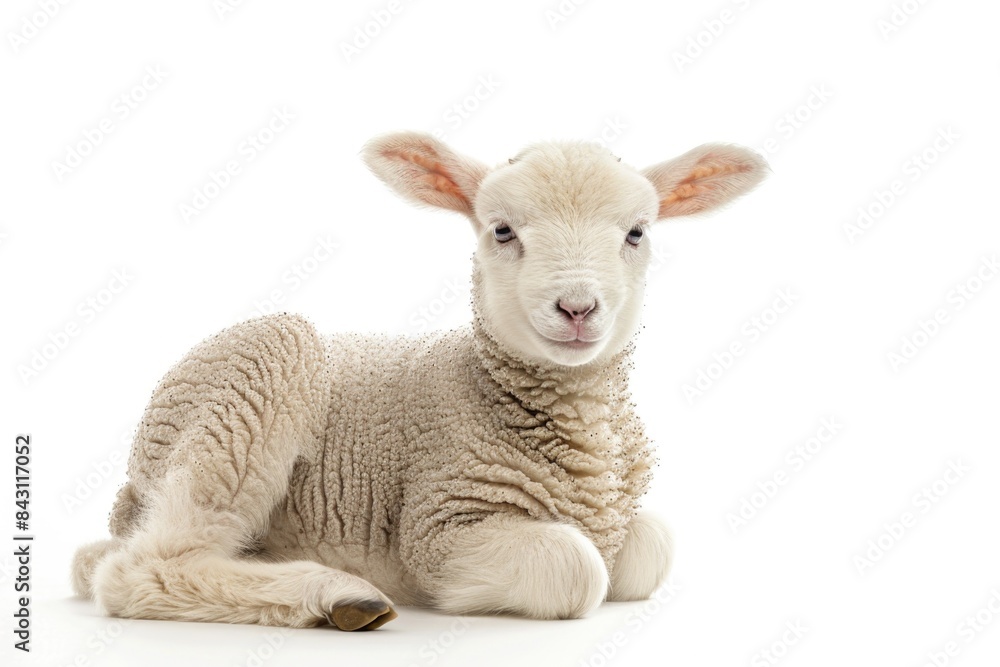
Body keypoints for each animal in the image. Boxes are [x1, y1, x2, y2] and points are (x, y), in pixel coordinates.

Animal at [72, 131, 767, 630]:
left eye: (636, 233)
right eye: (502, 230)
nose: (576, 308)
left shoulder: (624, 514)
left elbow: (651, 547)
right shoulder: (440, 523)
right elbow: (577, 568)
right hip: (258, 373)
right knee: (142, 568)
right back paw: (336, 596)